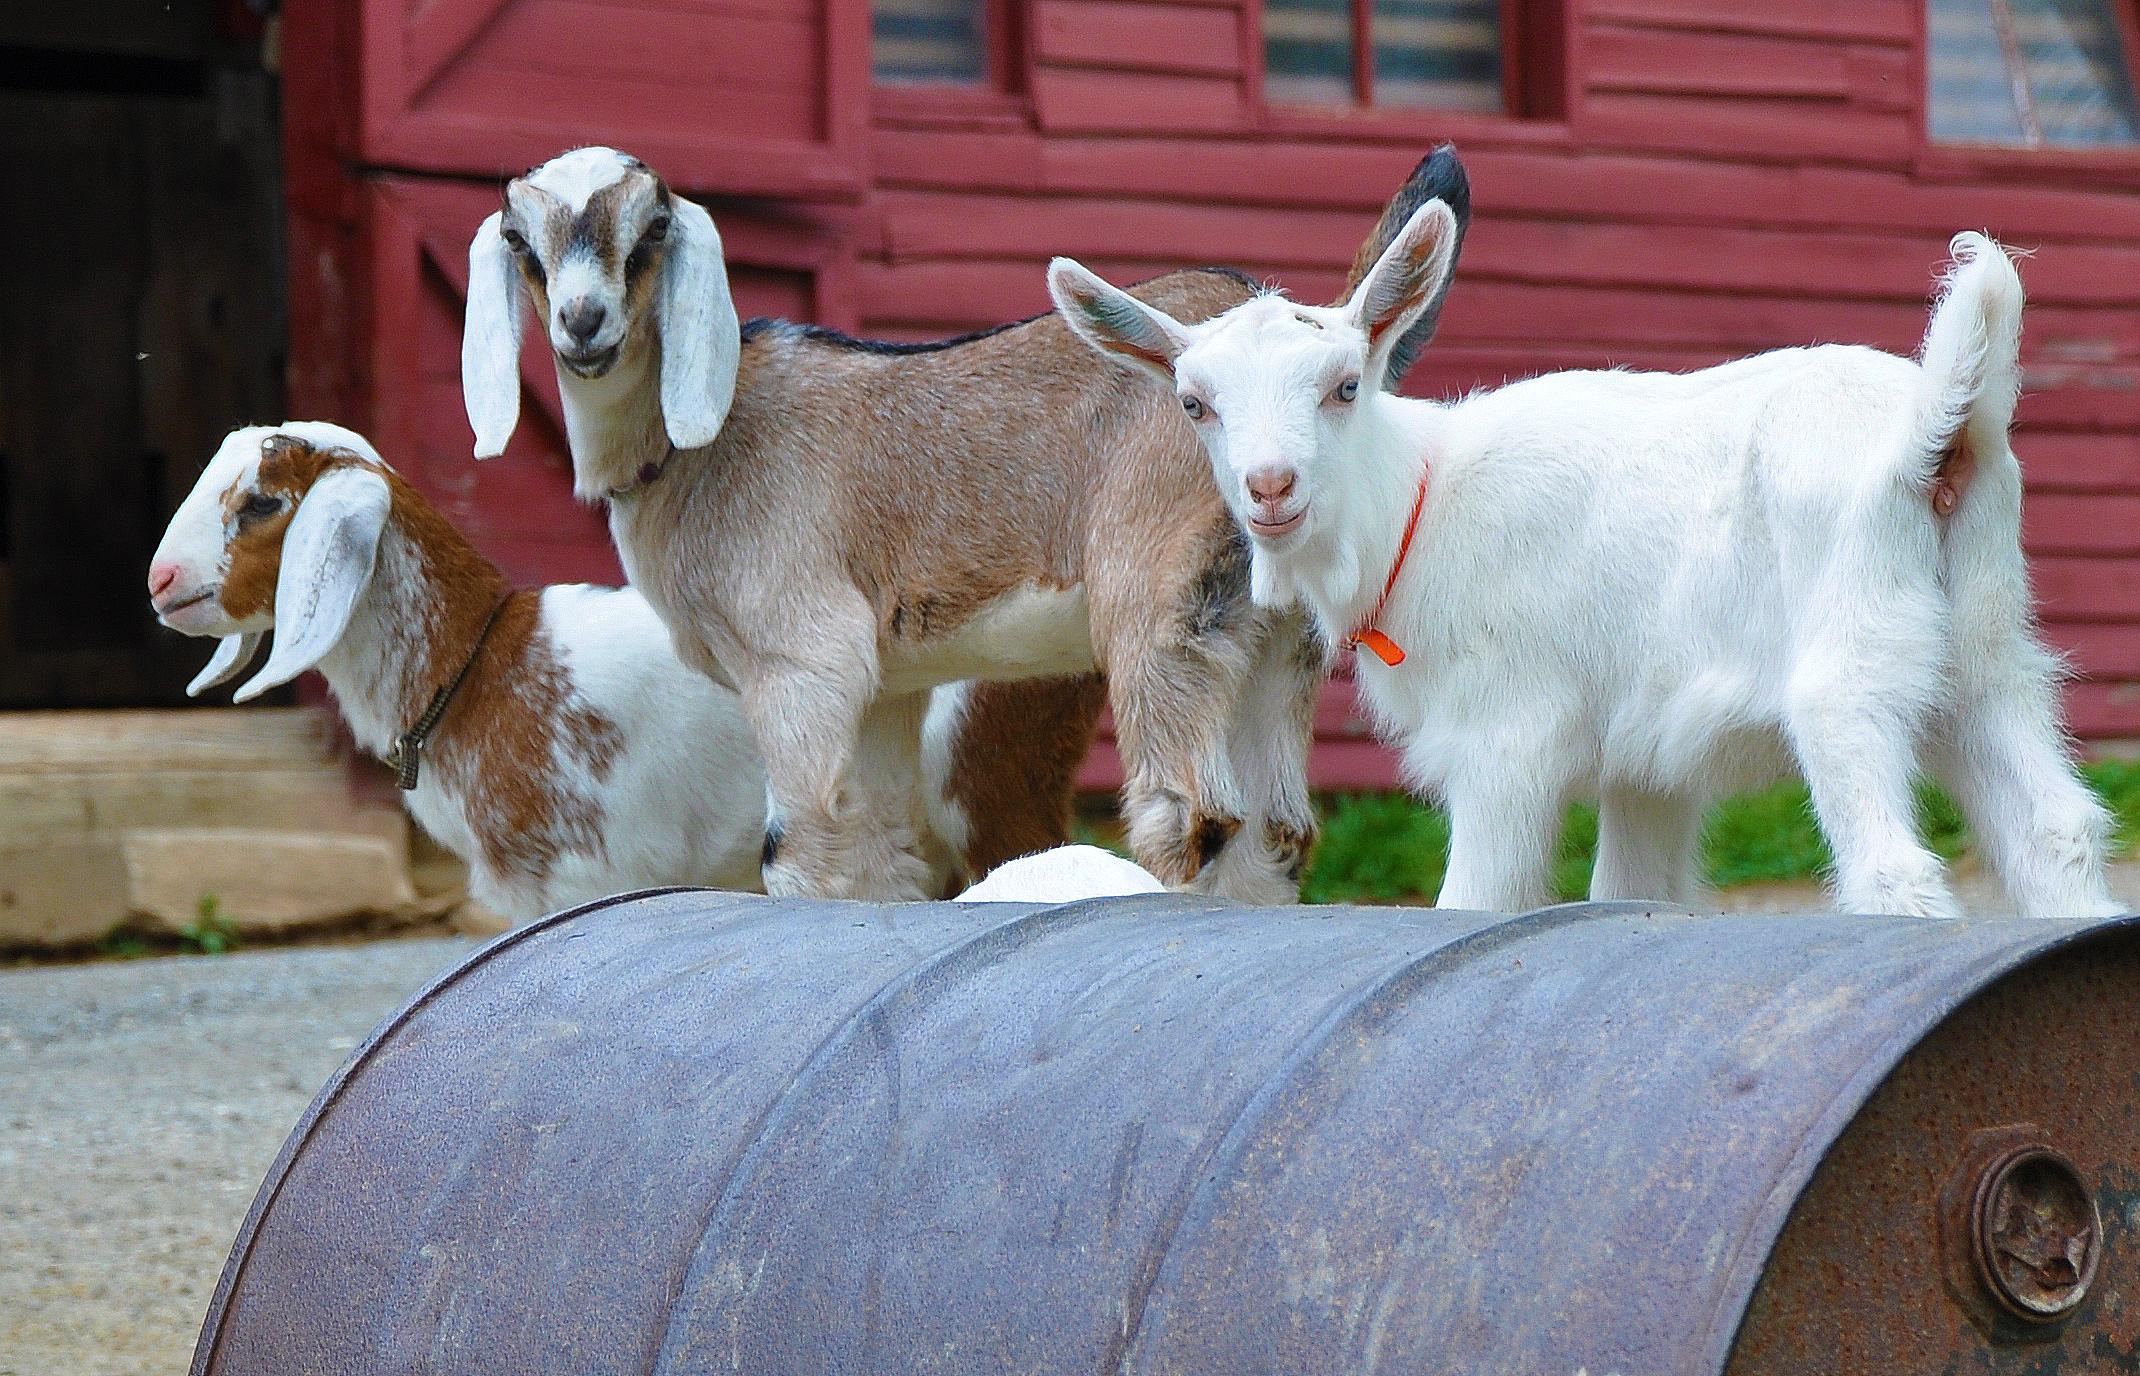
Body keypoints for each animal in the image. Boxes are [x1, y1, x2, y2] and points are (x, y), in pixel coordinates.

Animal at [462, 145, 1472, 898]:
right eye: (518, 237)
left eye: (655, 228)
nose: (583, 323)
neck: (697, 448)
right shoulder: (882, 683)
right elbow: (876, 853)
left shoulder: (801, 656)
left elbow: (796, 850)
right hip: (1272, 637)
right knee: (1276, 832)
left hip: (1157, 597)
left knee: (1189, 814)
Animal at [1044, 215, 2114, 920]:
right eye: (1195, 404)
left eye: (1345, 385)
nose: (1271, 488)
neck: (1418, 505)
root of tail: (1935, 430)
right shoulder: (1647, 757)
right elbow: (1631, 893)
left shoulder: (1507, 733)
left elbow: (1474, 903)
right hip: (1985, 656)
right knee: (2054, 828)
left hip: (1851, 664)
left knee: (1894, 868)